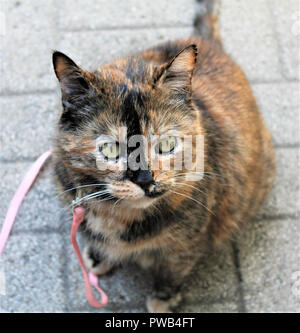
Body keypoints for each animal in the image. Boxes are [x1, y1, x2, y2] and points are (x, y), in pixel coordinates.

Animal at [51, 33, 274, 308]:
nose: (145, 180)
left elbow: (172, 271)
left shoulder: (184, 245)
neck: (119, 215)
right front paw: (98, 256)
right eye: (110, 149)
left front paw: (162, 299)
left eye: (167, 145)